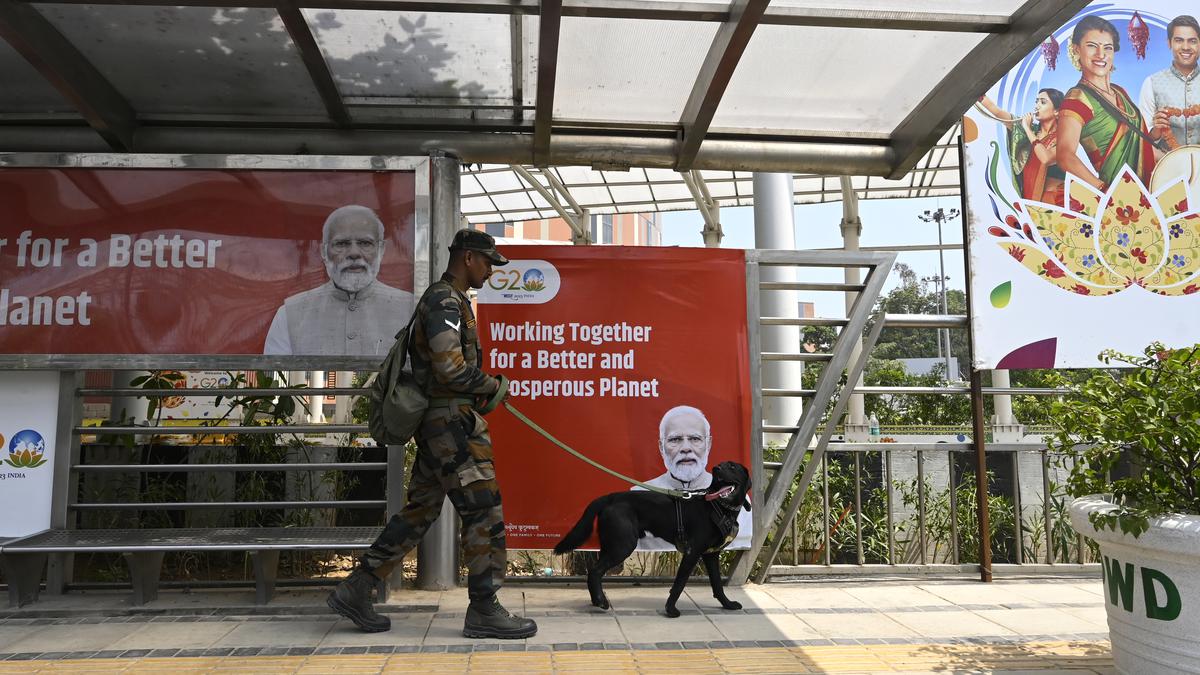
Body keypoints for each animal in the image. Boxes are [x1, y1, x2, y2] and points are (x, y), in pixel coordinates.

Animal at [552, 458, 748, 619]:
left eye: (732, 466)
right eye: (719, 466)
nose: (716, 468)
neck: (719, 507)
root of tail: (609, 497)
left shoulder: (711, 555)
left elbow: (717, 584)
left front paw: (727, 604)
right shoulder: (692, 552)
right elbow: (679, 584)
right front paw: (670, 610)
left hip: (611, 545)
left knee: (595, 572)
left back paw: (596, 600)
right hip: (623, 545)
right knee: (594, 571)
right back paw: (601, 601)